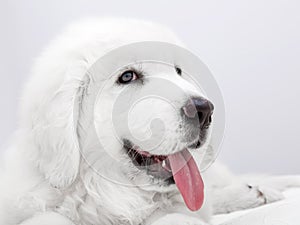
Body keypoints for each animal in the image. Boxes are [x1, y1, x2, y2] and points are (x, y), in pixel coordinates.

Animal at [0, 18, 300, 225]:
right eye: (127, 77)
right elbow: (49, 217)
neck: (106, 190)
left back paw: (257, 191)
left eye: (178, 71)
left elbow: (180, 215)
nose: (204, 109)